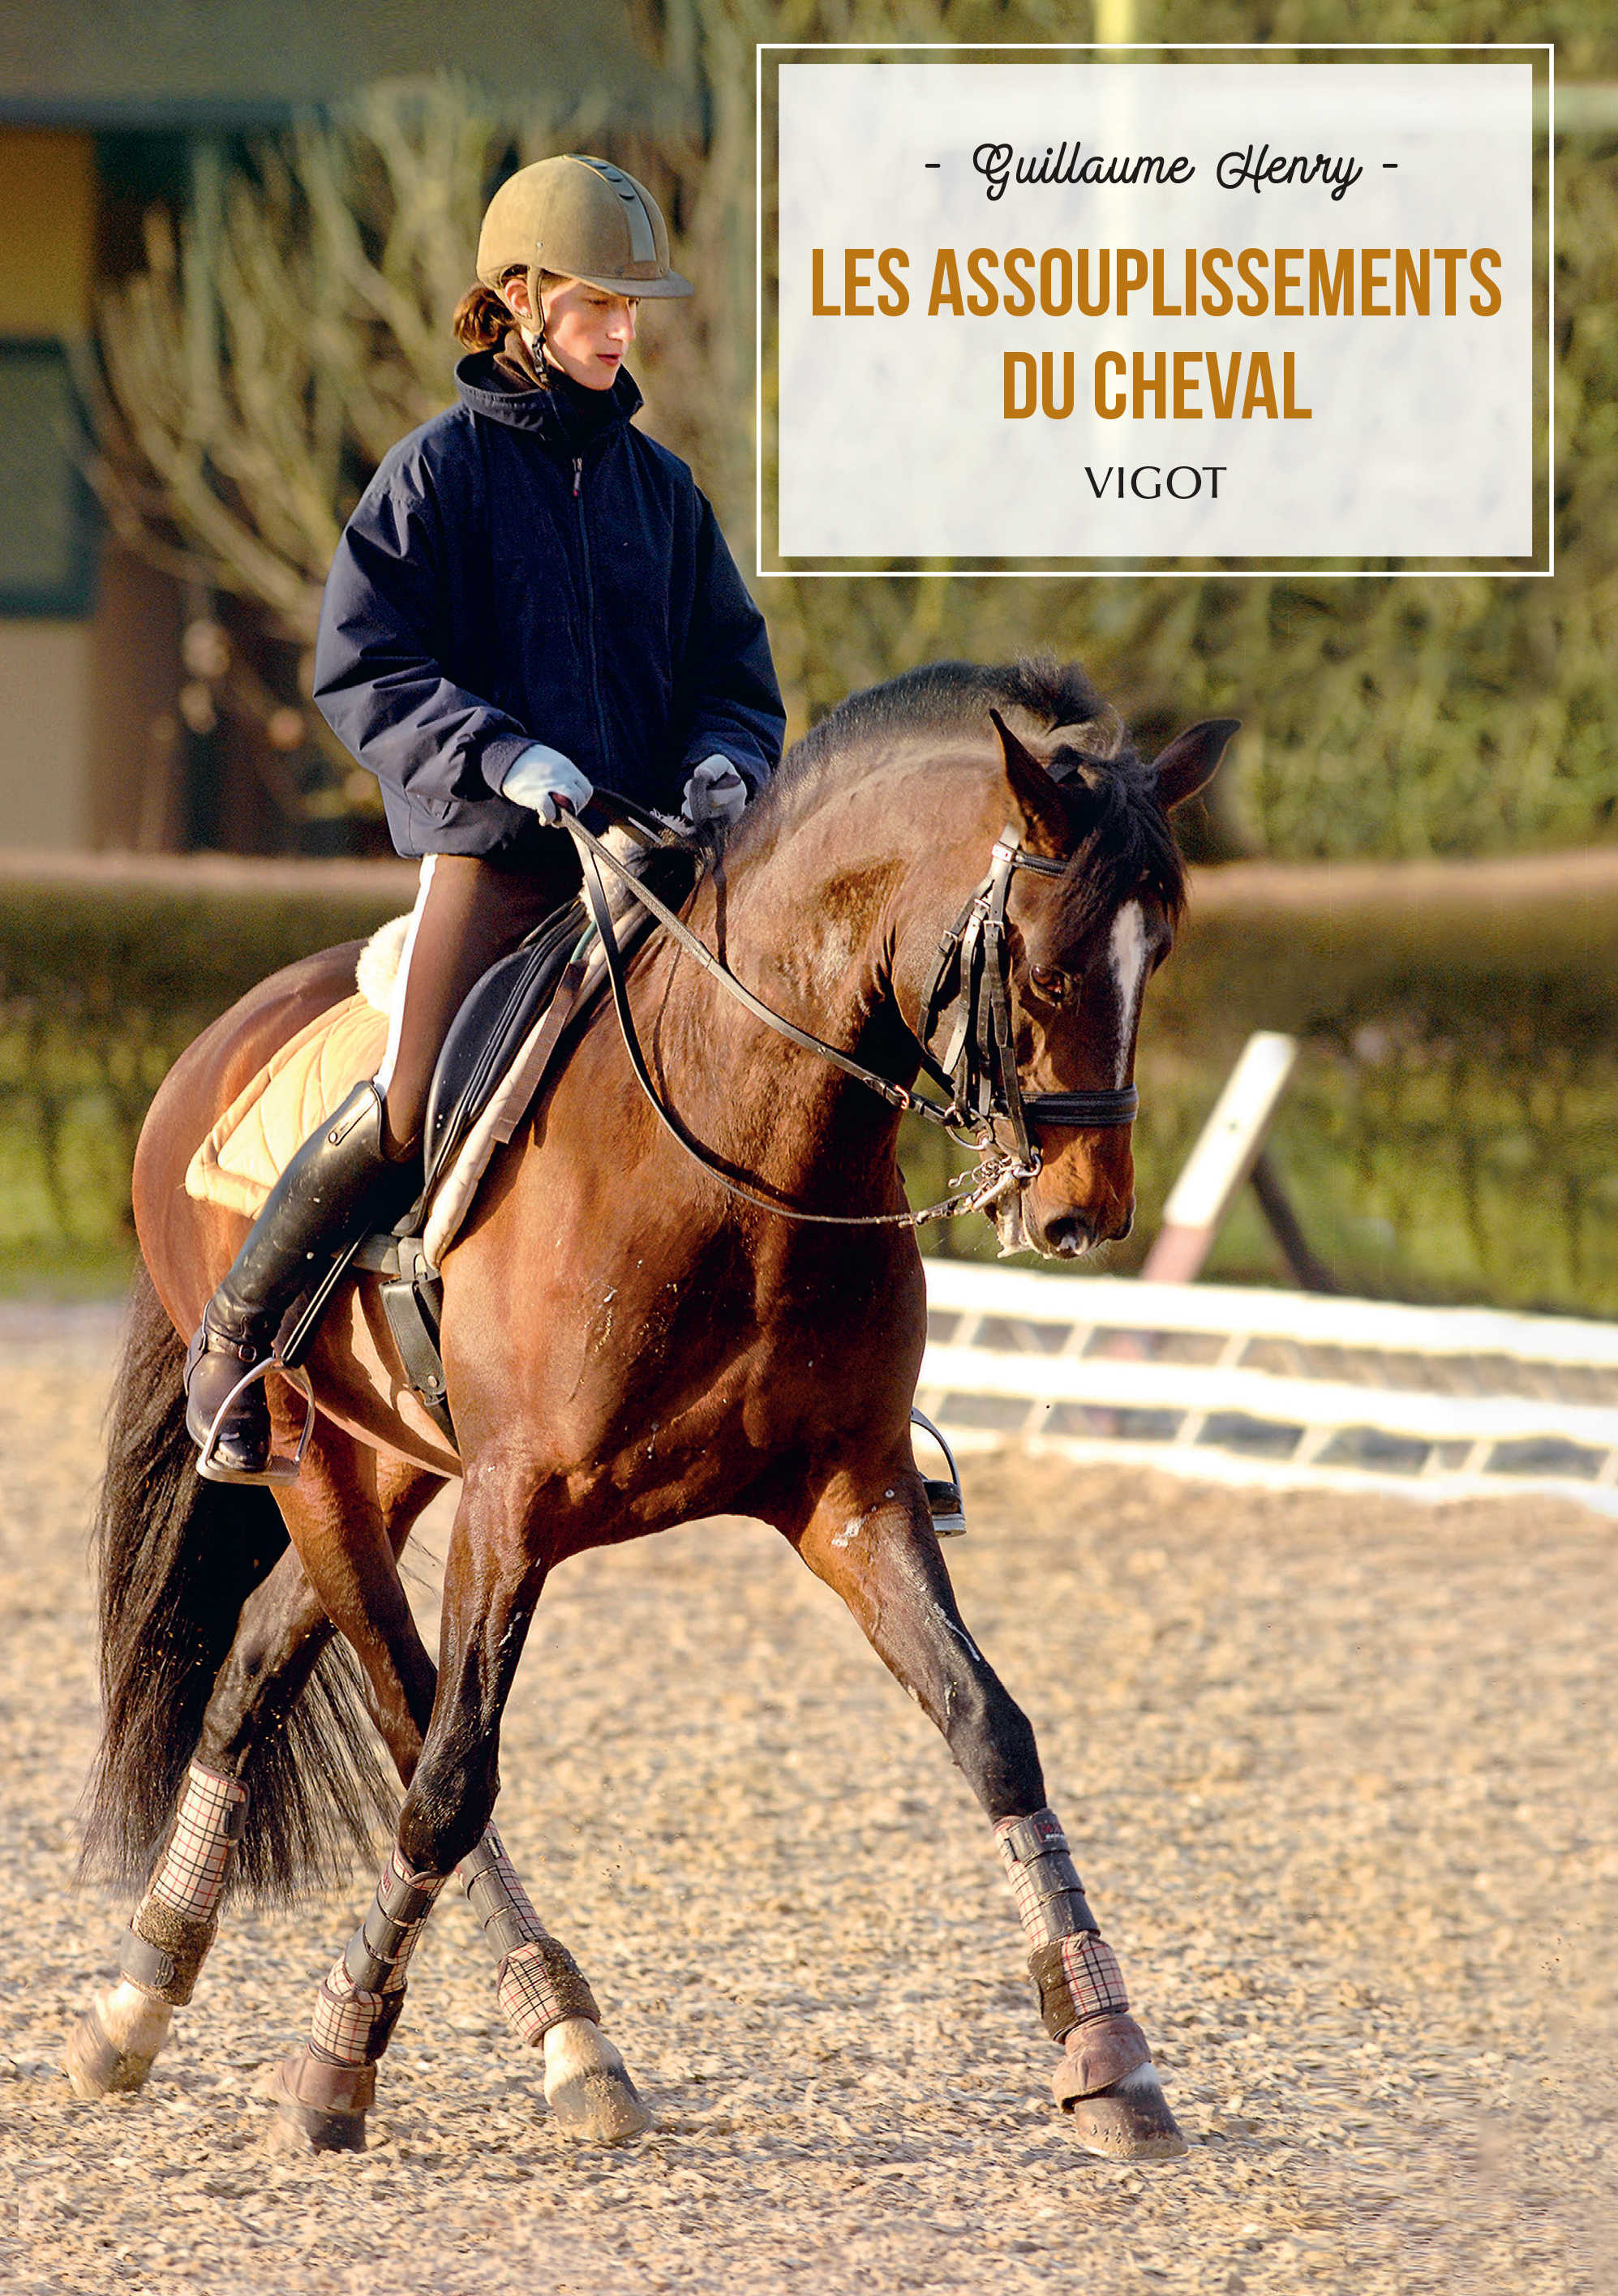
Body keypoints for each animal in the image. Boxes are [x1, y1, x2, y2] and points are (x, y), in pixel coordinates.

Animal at [65, 657, 1232, 2160]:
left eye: (1164, 952)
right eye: (1043, 964)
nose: (1085, 1215)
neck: (742, 1145)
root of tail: (223, 1033)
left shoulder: (850, 1491)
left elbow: (992, 1729)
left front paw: (1109, 2051)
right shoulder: (515, 1509)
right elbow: (450, 1778)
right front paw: (332, 2064)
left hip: (393, 1463)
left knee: (263, 1663)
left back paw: (147, 1995)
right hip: (312, 1458)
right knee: (409, 1724)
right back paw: (535, 2030)